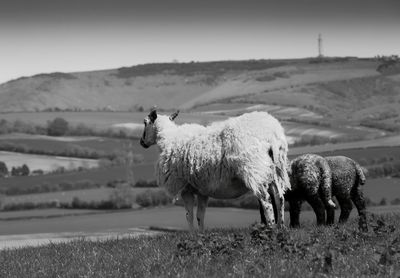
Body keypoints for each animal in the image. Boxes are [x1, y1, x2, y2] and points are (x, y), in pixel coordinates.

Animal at [139, 107, 290, 231]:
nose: (141, 142)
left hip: (254, 168)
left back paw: (271, 228)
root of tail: (272, 134)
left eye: (145, 122)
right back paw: (281, 227)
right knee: (279, 197)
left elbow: (189, 215)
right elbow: (200, 216)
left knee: (266, 201)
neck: (169, 137)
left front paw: (192, 235)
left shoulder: (185, 188)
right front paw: (201, 234)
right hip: (274, 169)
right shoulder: (202, 190)